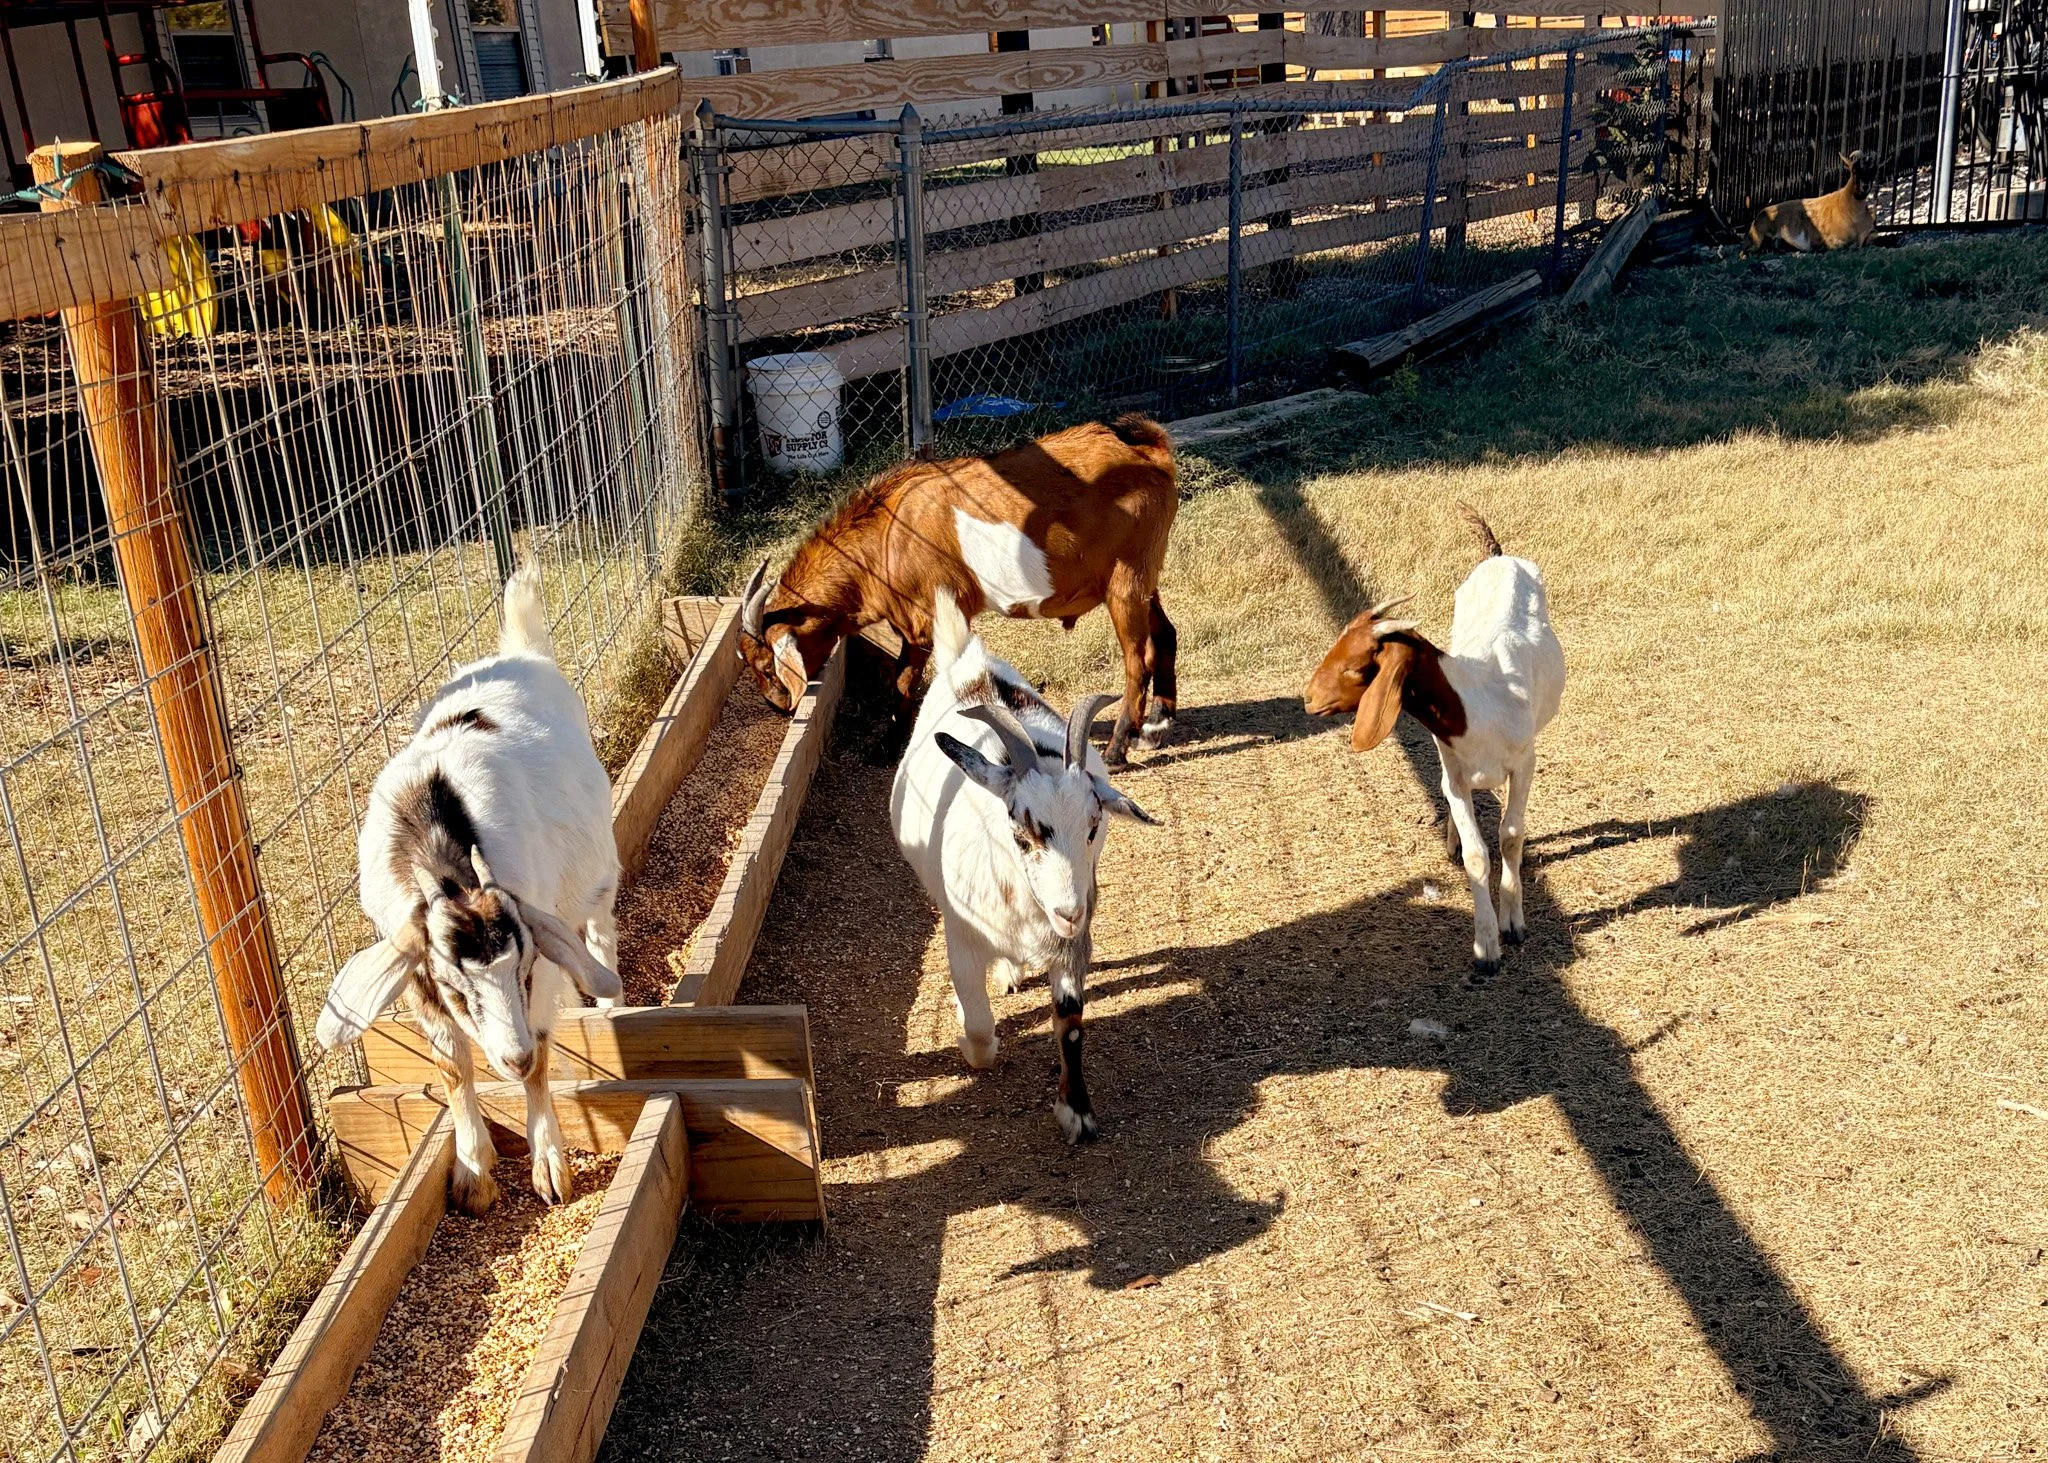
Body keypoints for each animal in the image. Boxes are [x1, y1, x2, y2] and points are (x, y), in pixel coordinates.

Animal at [315, 563, 623, 1214]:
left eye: (522, 969)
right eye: (457, 990)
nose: (512, 1056)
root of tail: (521, 652)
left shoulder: (539, 946)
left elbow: (543, 1045)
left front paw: (548, 1168)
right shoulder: (414, 969)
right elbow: (451, 1064)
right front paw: (474, 1173)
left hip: (595, 877)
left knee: (598, 932)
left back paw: (611, 1002)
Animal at [740, 414, 1180, 765]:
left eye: (766, 667)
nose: (777, 706)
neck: (885, 535)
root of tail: (1151, 453)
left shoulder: (934, 616)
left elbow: (910, 682)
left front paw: (892, 746)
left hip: (1126, 579)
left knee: (1137, 661)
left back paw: (1118, 749)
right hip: (1143, 579)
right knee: (1165, 635)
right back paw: (1156, 727)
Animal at [891, 588, 1158, 1142]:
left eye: (1094, 827)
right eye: (1021, 834)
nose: (1070, 912)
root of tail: (970, 663)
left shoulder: (1072, 947)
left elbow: (1071, 1025)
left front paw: (1076, 1111)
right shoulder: (962, 937)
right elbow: (977, 1027)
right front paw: (973, 1043)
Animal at [1304, 507, 1564, 979]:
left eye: (1354, 666)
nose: (1308, 698)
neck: (1476, 702)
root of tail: (1497, 556)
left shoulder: (1524, 763)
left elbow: (1511, 835)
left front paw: (1513, 922)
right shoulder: (1455, 774)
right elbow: (1477, 854)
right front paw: (1486, 946)